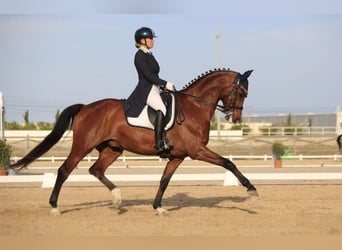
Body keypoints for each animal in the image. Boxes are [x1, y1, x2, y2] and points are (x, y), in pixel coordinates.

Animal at [10, 68, 256, 215]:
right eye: (241, 92)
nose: (235, 118)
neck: (194, 107)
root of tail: (86, 107)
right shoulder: (197, 150)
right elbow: (228, 162)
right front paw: (251, 188)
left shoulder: (178, 156)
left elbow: (164, 181)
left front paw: (158, 207)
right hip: (82, 146)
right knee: (64, 171)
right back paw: (54, 207)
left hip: (112, 149)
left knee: (96, 170)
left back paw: (117, 199)